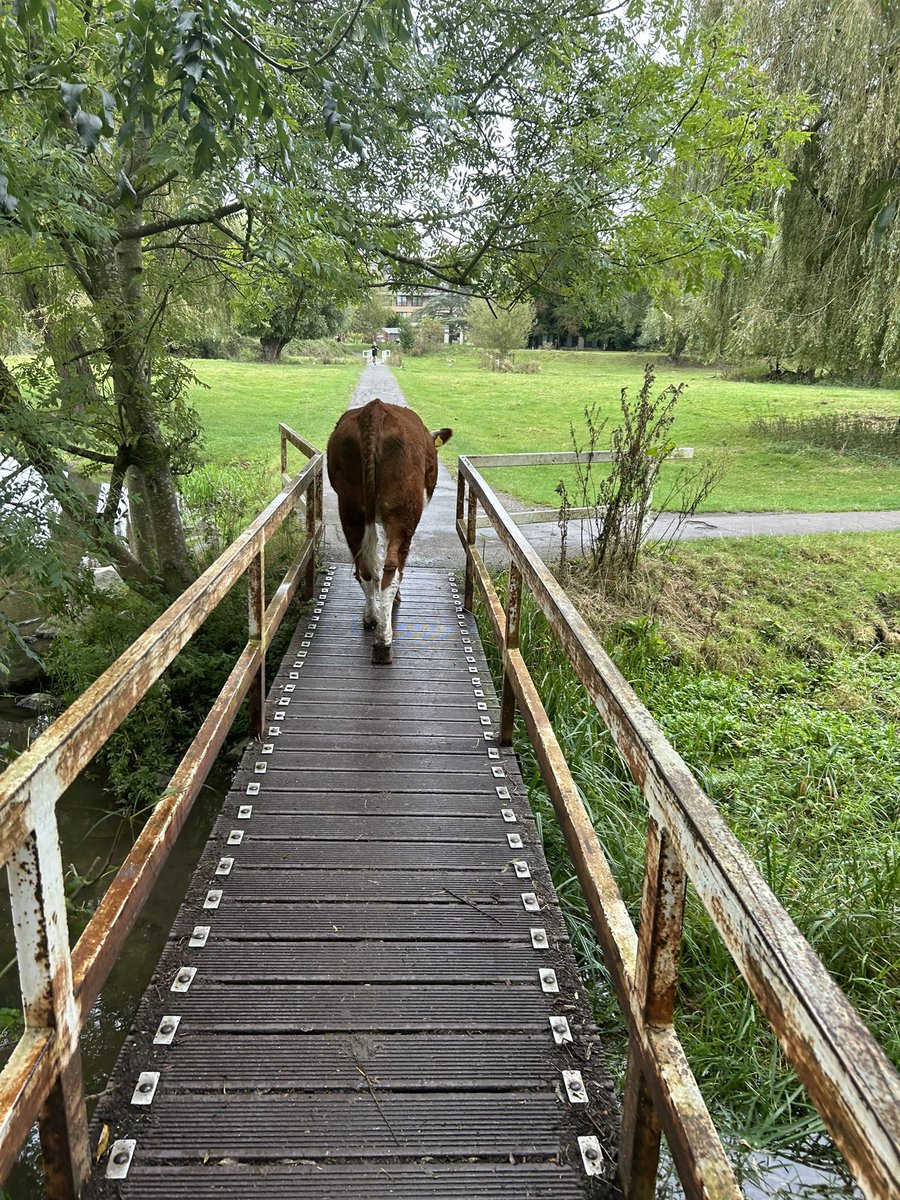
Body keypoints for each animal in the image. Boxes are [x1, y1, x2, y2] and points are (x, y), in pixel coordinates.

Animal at [327, 399, 452, 664]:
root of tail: (375, 410)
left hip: (351, 507)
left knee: (364, 566)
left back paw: (371, 618)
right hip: (403, 511)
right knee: (391, 567)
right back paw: (384, 641)